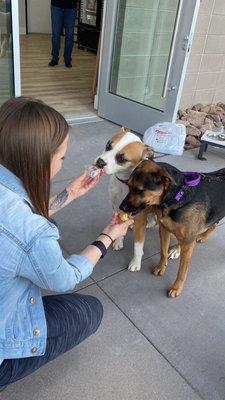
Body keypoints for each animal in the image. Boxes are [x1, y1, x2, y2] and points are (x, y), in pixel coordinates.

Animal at [94, 127, 155, 272]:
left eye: (122, 158)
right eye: (108, 145)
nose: (100, 162)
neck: (124, 183)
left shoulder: (140, 221)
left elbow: (138, 246)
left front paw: (136, 262)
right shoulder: (116, 207)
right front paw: (118, 240)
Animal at [119, 159, 225, 296]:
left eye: (139, 190)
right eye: (128, 186)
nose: (121, 207)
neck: (178, 197)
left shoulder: (188, 240)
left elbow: (182, 271)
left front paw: (176, 288)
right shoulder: (164, 230)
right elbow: (163, 252)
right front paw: (161, 267)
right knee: (213, 224)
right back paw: (200, 237)